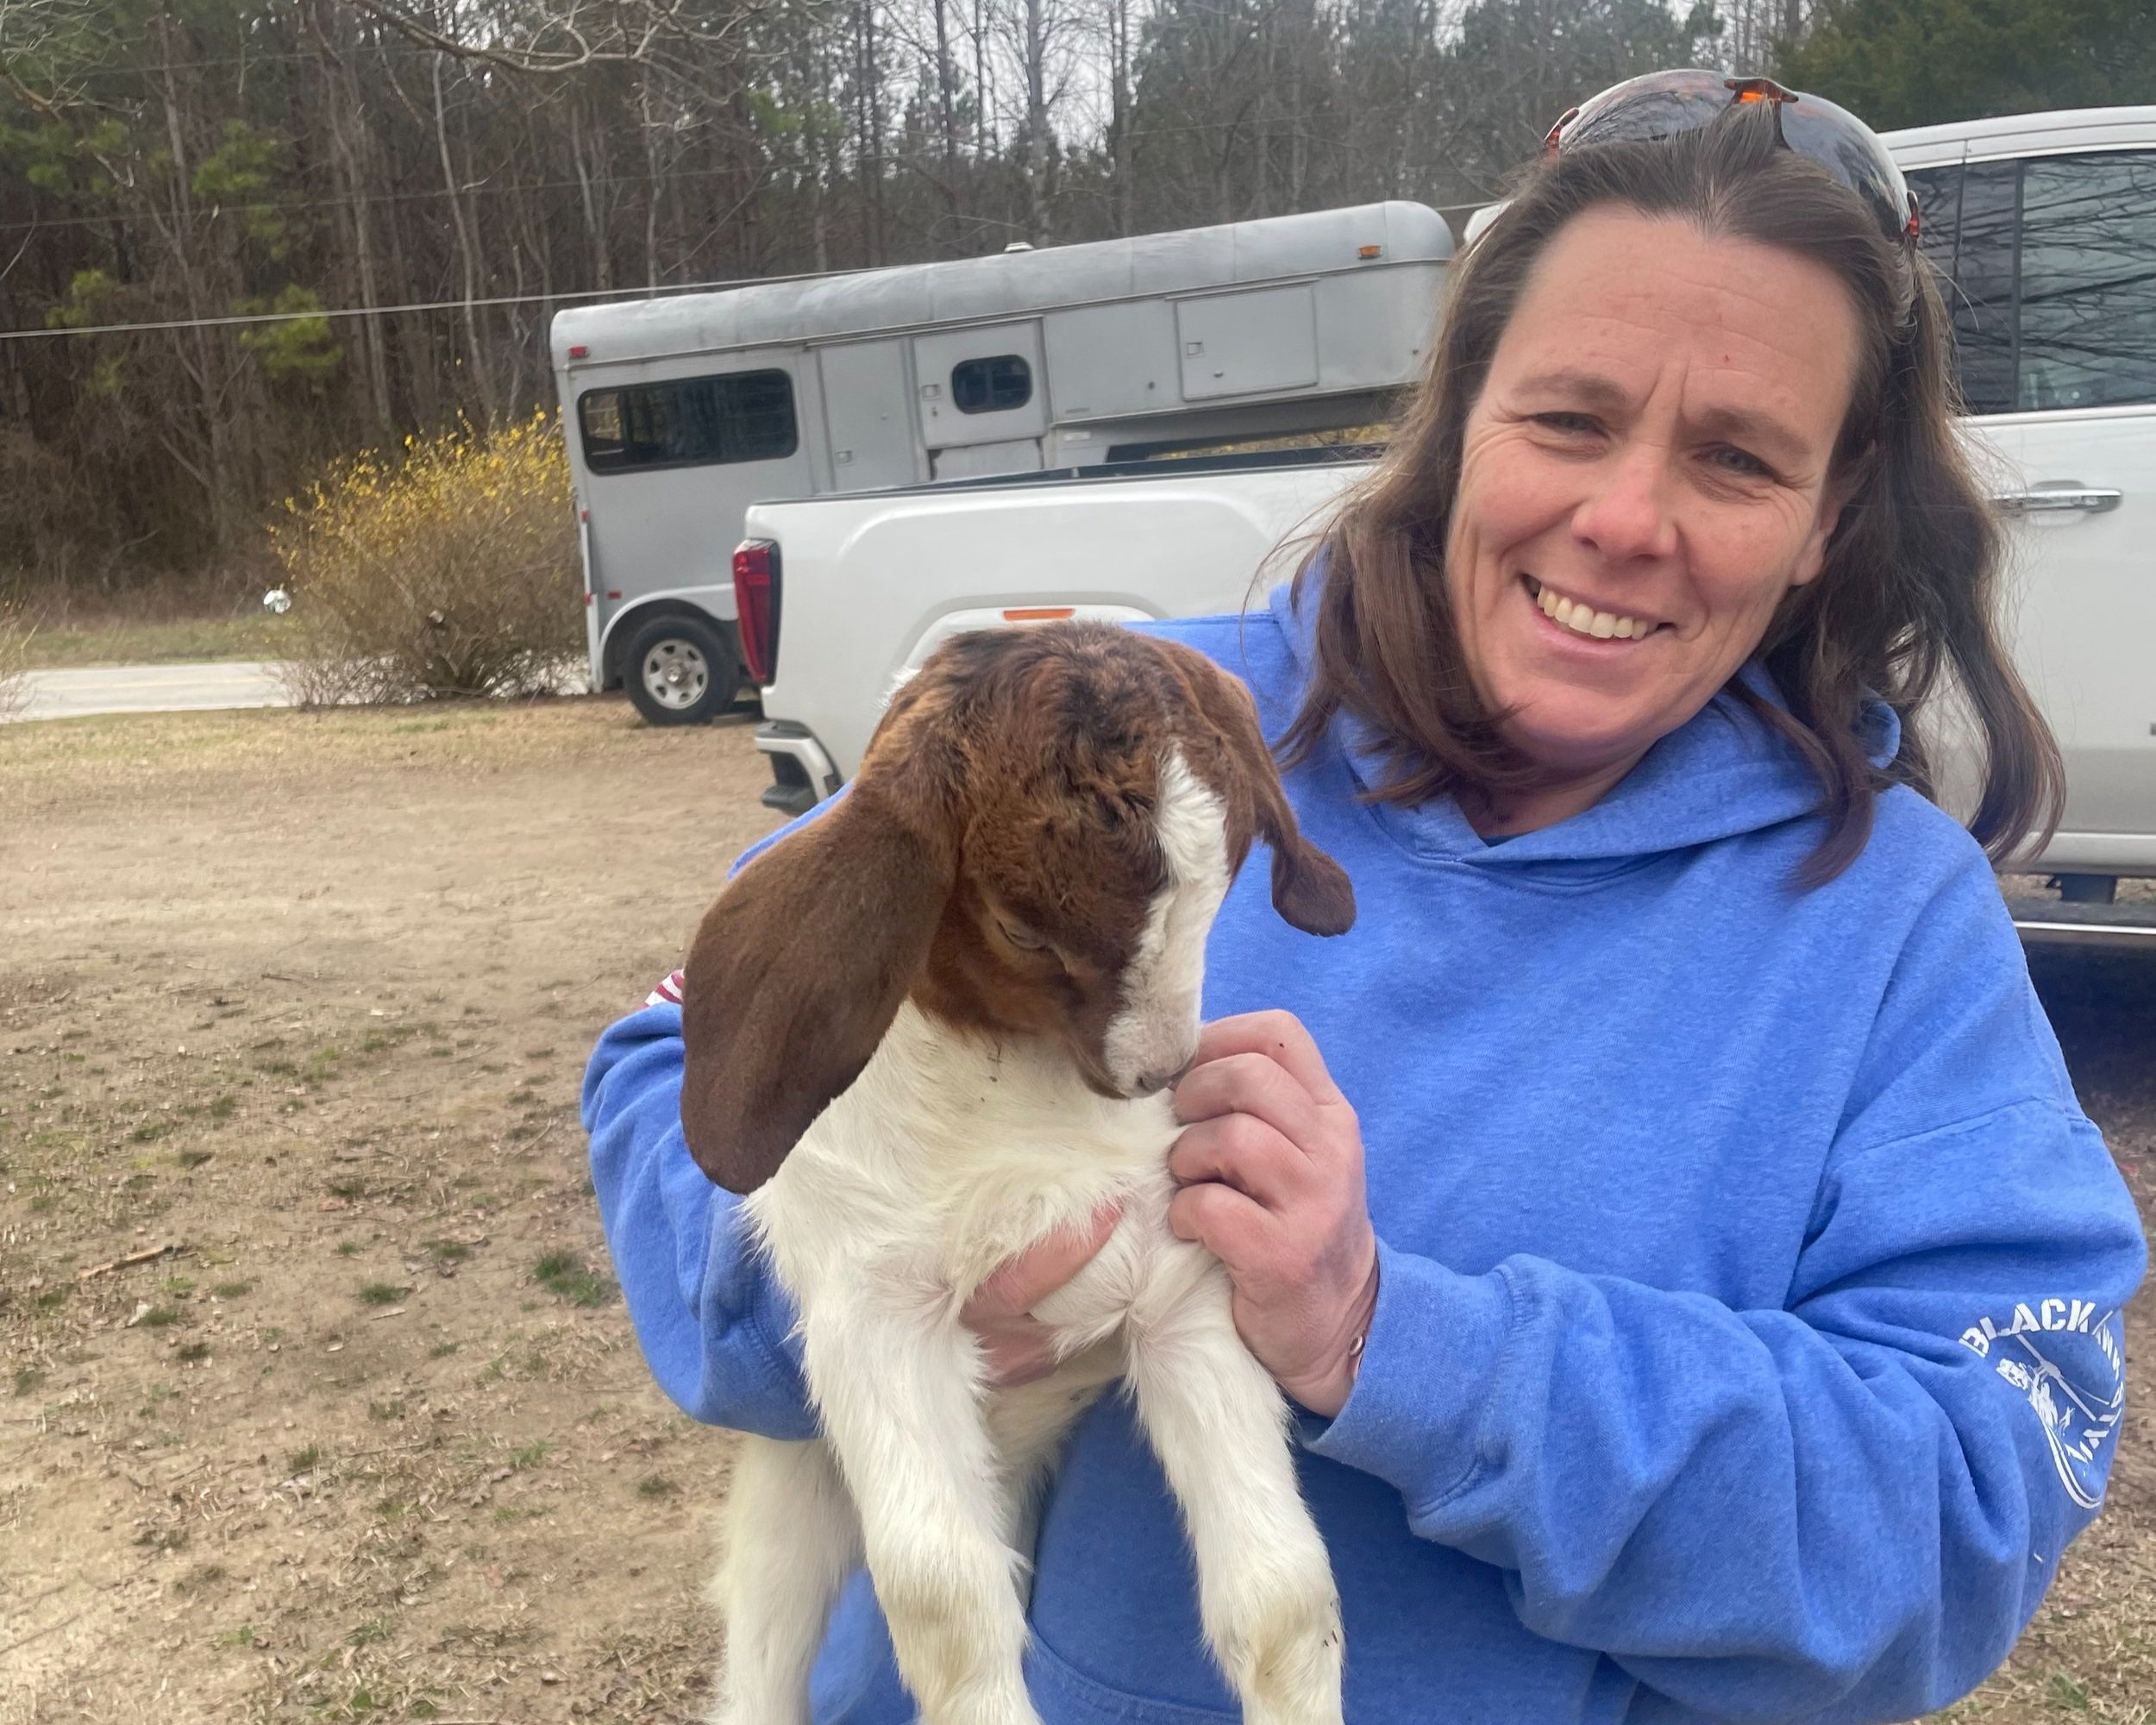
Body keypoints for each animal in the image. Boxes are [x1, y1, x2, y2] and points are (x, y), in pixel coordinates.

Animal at [679, 622, 1357, 1725]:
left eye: (1226, 886)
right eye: (1024, 929)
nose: (1154, 1073)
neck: (1021, 1106)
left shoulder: (1180, 1293)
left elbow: (1282, 1595)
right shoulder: (875, 1313)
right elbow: (946, 1604)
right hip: (794, 1487)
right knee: (763, 1657)